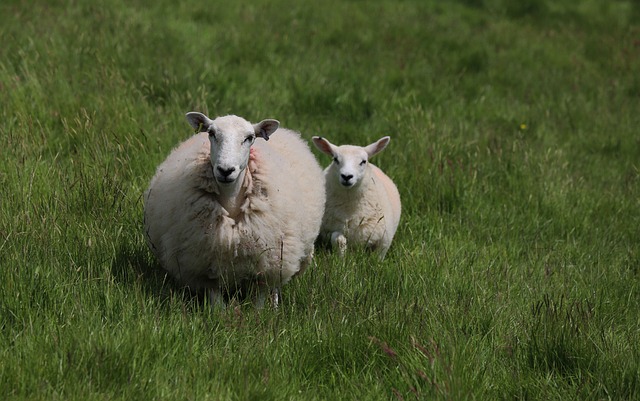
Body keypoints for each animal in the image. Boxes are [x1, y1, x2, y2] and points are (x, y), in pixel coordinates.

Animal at [144, 112, 324, 306]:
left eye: (249, 137)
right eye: (211, 133)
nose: (225, 170)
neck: (230, 201)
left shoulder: (265, 266)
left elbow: (260, 302)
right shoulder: (206, 267)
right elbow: (217, 306)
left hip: (282, 257)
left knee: (276, 287)